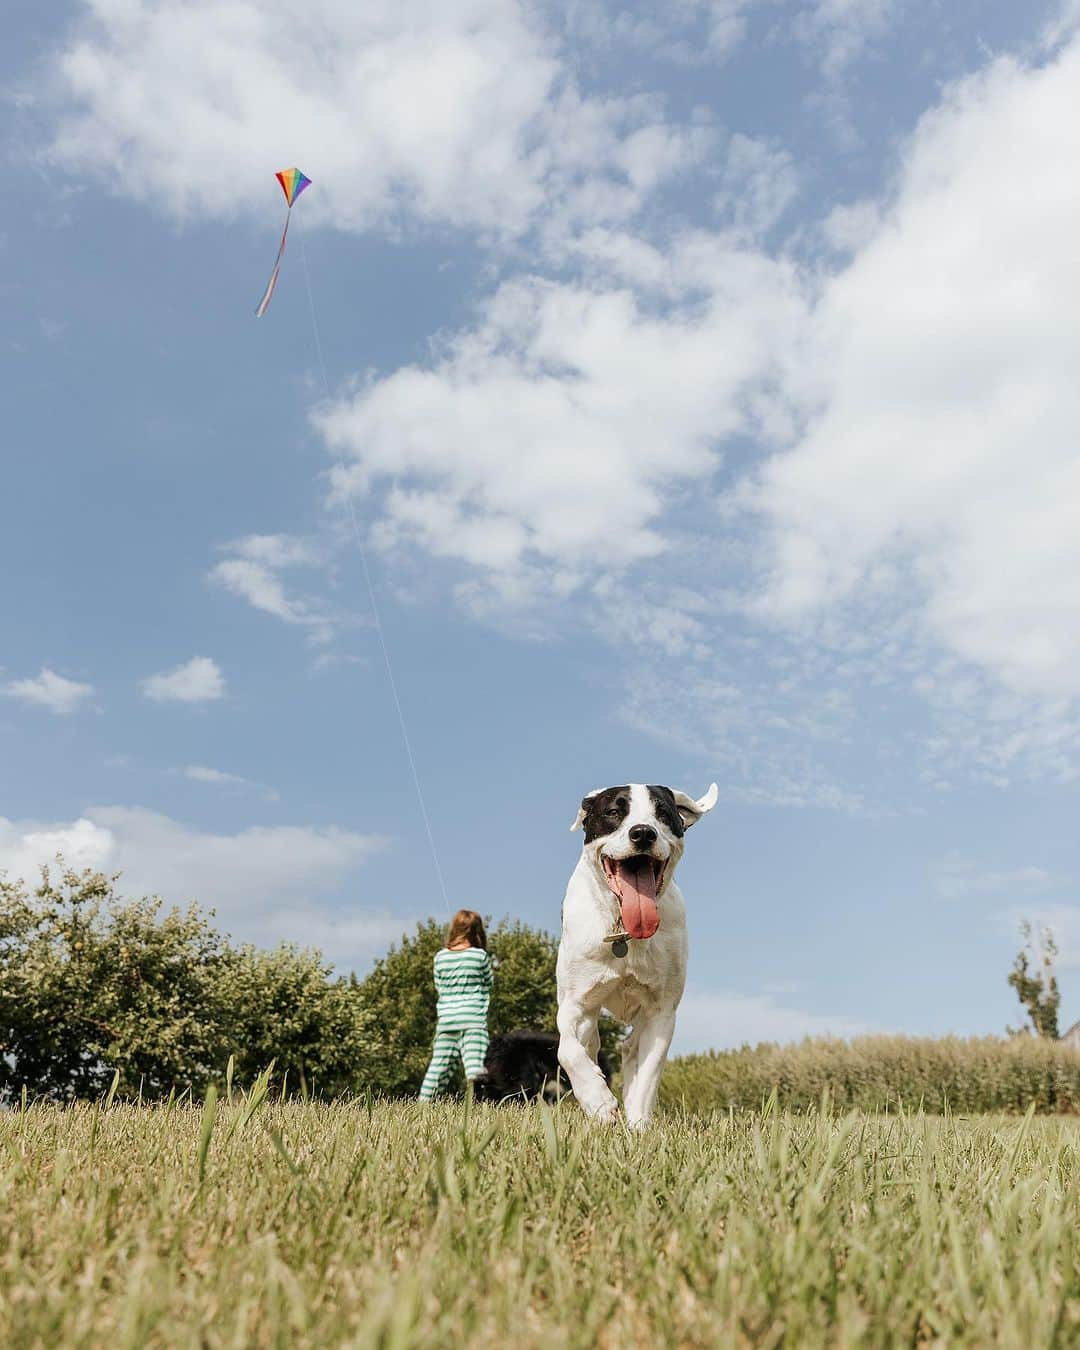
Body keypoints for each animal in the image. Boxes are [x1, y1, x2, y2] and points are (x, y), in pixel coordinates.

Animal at [556, 783, 718, 1128]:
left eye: (663, 813)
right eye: (614, 812)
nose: (643, 833)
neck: (623, 930)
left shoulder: (662, 1012)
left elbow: (649, 1073)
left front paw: (639, 1124)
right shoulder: (576, 1003)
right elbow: (568, 1050)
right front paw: (599, 1102)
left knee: (631, 1048)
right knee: (589, 1046)